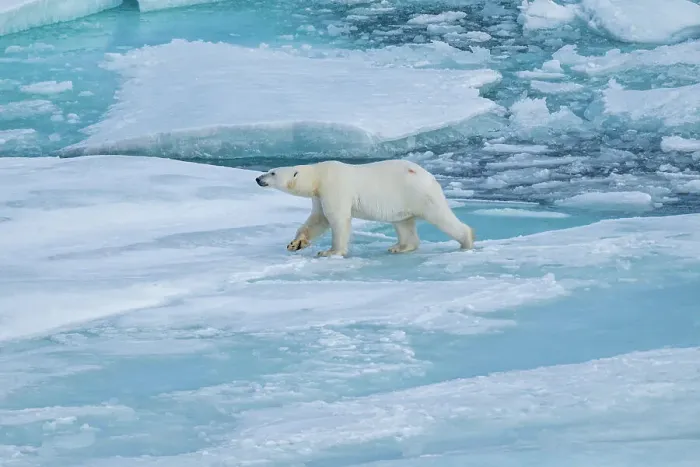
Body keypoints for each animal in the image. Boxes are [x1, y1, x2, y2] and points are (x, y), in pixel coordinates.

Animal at [255, 159, 474, 257]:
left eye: (272, 173)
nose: (257, 178)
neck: (318, 176)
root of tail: (429, 175)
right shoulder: (319, 196)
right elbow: (318, 219)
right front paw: (296, 243)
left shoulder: (334, 187)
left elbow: (337, 219)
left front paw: (330, 252)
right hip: (401, 200)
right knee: (403, 223)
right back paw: (399, 247)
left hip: (418, 194)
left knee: (440, 216)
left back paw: (467, 241)